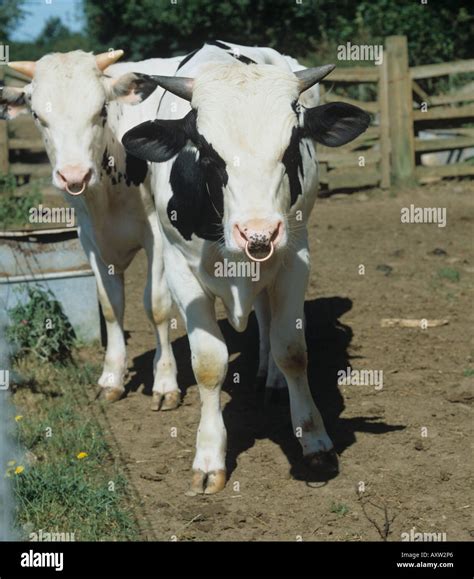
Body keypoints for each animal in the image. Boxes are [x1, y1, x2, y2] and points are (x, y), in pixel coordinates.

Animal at [0, 52, 182, 410]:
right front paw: (111, 378)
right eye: (38, 115)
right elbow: (110, 306)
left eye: (101, 111)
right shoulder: (89, 239)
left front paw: (166, 382)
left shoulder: (156, 233)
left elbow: (156, 306)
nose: (74, 175)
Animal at [123, 42, 370, 494]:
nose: (258, 231)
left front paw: (314, 441)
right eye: (206, 152)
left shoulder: (294, 258)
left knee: (268, 318)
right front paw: (208, 457)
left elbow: (292, 350)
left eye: (292, 146)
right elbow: (208, 364)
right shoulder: (183, 270)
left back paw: (270, 378)